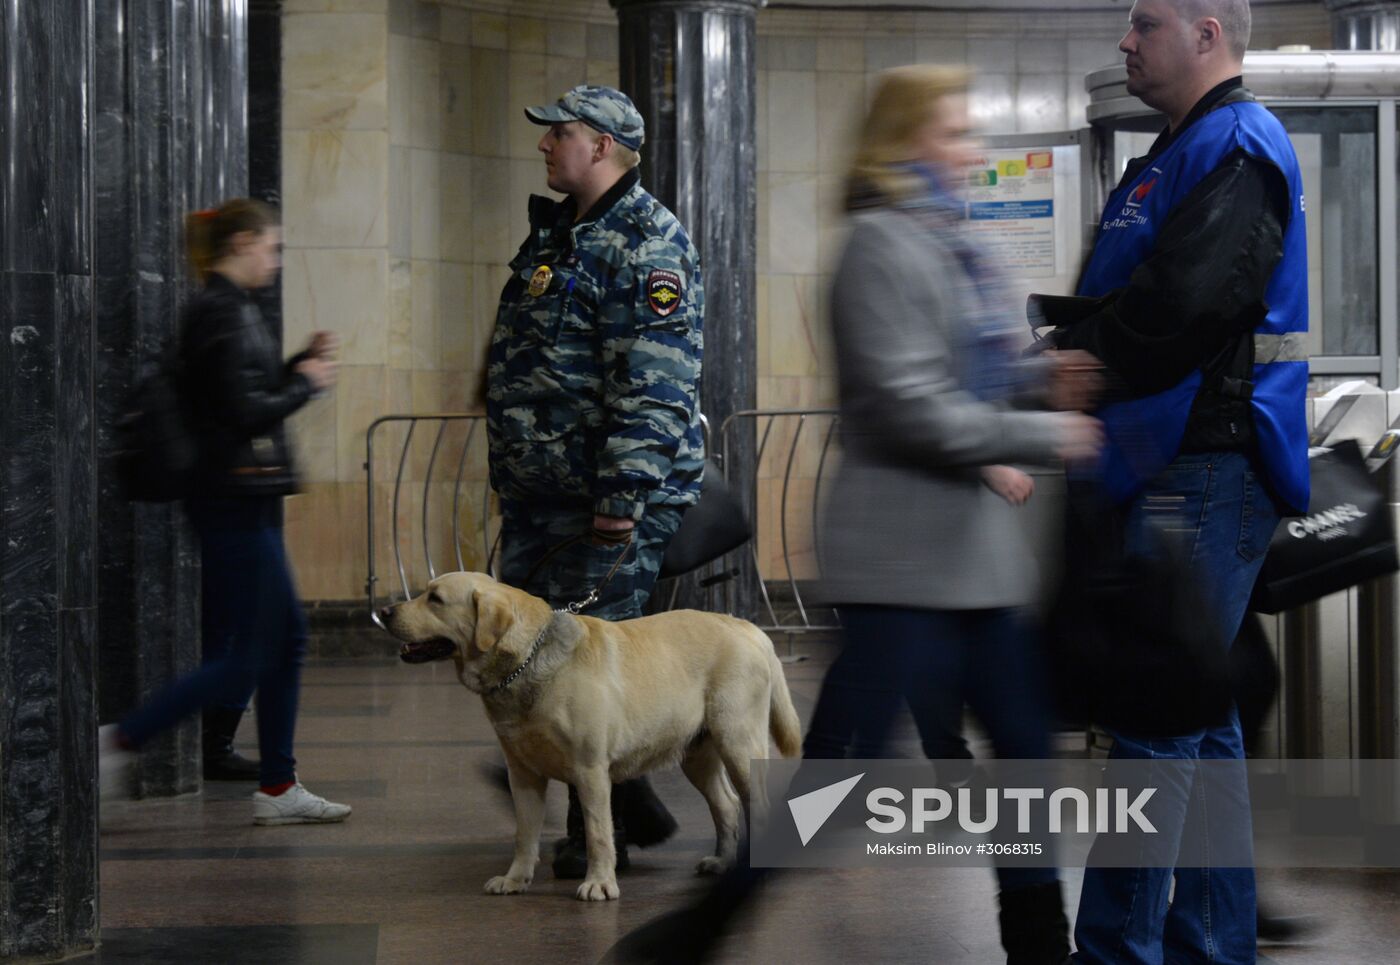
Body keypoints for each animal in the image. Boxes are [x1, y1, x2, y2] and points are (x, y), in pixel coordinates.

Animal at [380, 568, 800, 901]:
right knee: (726, 805)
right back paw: (722, 862)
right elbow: (524, 833)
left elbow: (599, 833)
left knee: (757, 805)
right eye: (424, 592)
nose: (384, 612)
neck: (528, 661)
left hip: (740, 743)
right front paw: (515, 879)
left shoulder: (590, 771)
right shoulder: (523, 774)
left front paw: (599, 883)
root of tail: (744, 625)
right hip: (698, 754)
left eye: (435, 598)